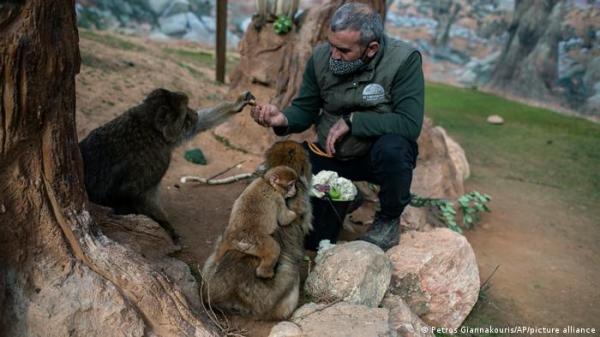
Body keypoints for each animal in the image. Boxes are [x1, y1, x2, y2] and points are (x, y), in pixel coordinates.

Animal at [78, 88, 254, 243]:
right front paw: (167, 228)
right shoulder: (157, 159)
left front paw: (237, 103)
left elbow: (197, 126)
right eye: (185, 112)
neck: (148, 125)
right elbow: (136, 194)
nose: (194, 114)